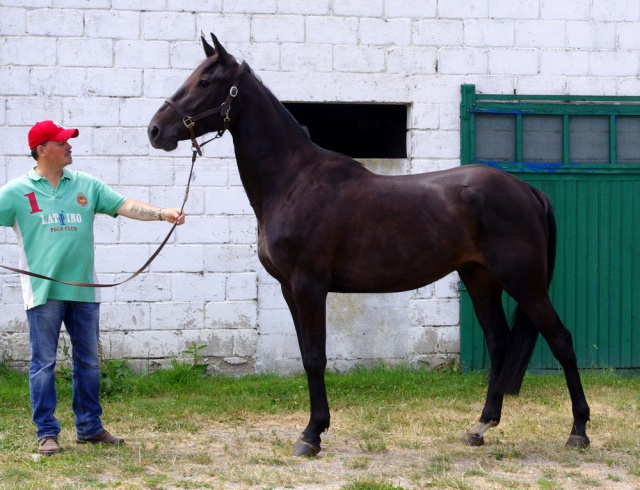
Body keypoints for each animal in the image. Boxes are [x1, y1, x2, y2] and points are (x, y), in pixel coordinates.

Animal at [149, 33, 592, 456]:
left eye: (205, 82)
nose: (155, 130)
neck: (293, 181)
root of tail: (529, 191)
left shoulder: (310, 286)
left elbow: (316, 358)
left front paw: (311, 435)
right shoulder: (290, 289)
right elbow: (307, 356)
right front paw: (315, 430)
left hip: (525, 284)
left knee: (562, 341)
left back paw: (578, 432)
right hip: (481, 280)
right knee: (499, 345)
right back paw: (481, 427)